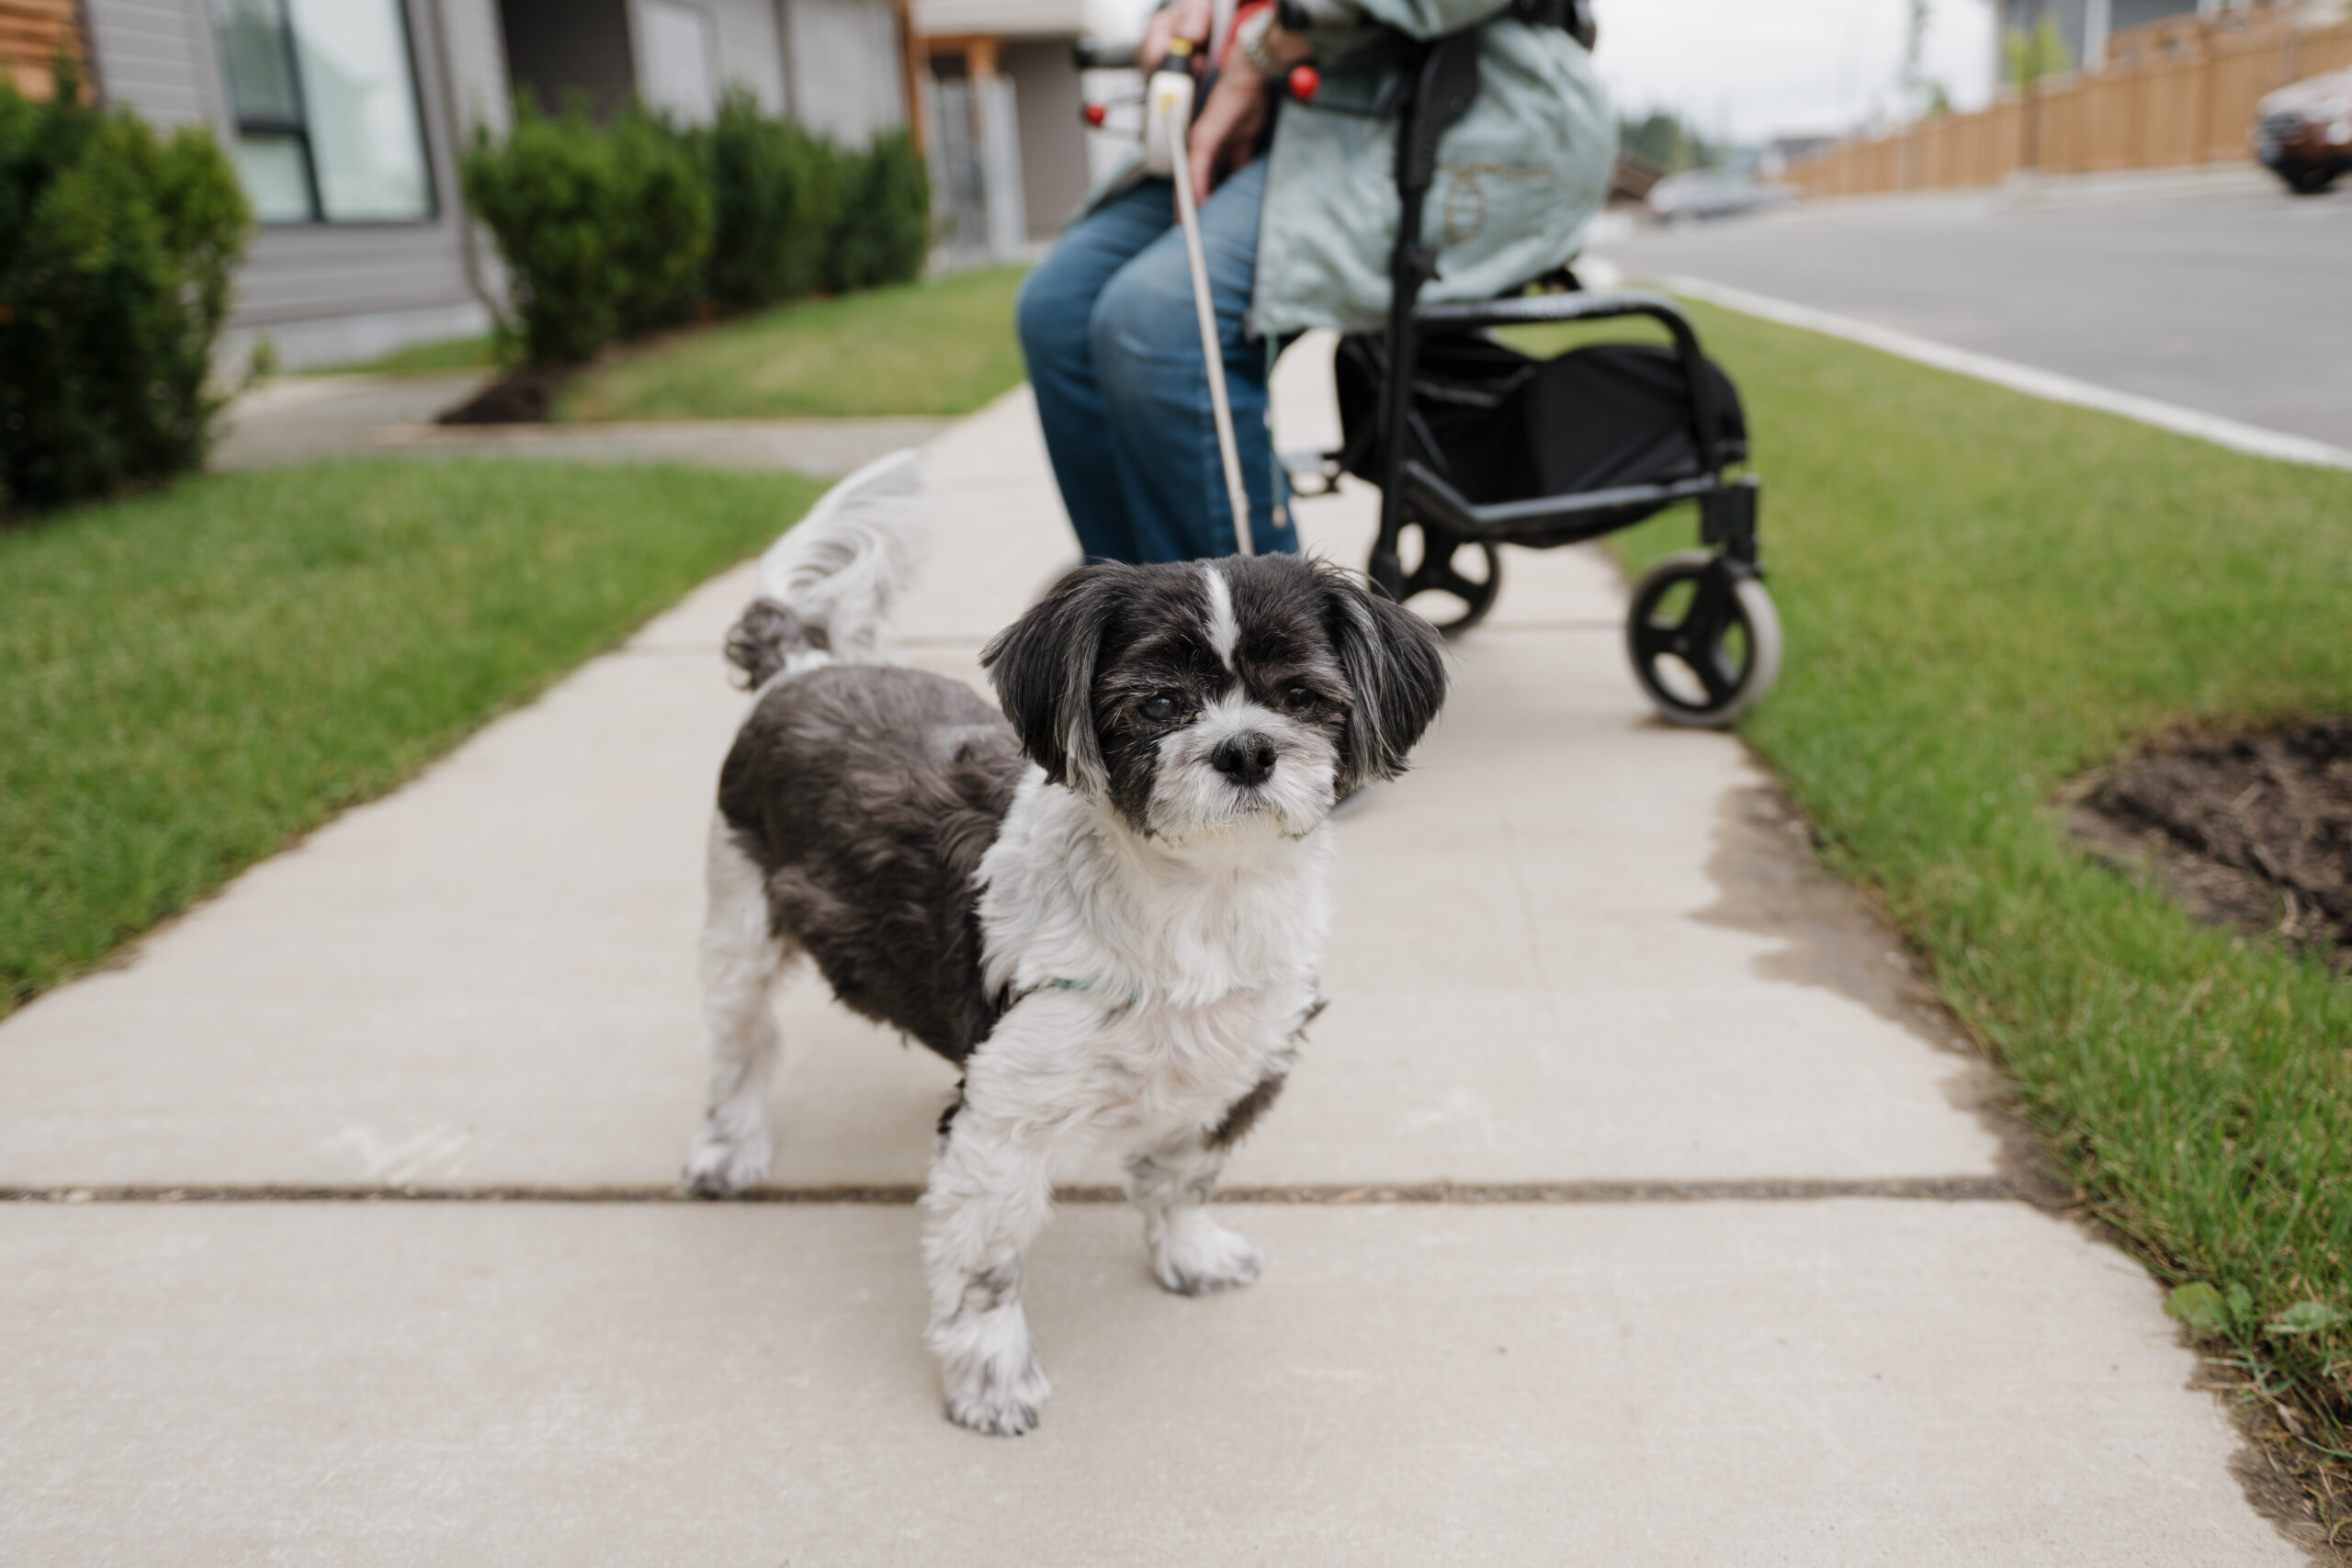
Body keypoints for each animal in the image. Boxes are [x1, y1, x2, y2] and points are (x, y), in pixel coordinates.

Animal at [686, 451, 1448, 1438]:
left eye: (1301, 696)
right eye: (1158, 703)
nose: (1246, 748)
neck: (1196, 903)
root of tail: (804, 669)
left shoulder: (1237, 1069)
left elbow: (1182, 1177)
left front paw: (1190, 1254)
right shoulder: (1002, 1131)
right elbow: (986, 1265)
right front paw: (990, 1376)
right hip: (737, 913)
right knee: (743, 1043)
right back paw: (729, 1146)